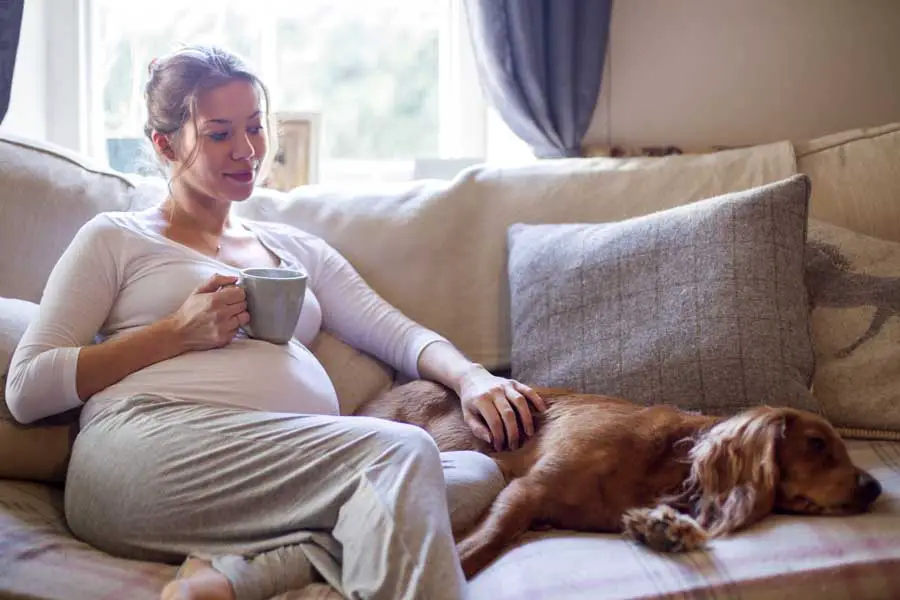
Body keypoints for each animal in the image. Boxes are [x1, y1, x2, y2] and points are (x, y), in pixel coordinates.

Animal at [356, 380, 884, 576]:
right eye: (817, 444)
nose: (875, 487)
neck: (666, 462)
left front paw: (664, 529)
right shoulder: (526, 490)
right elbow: (488, 538)